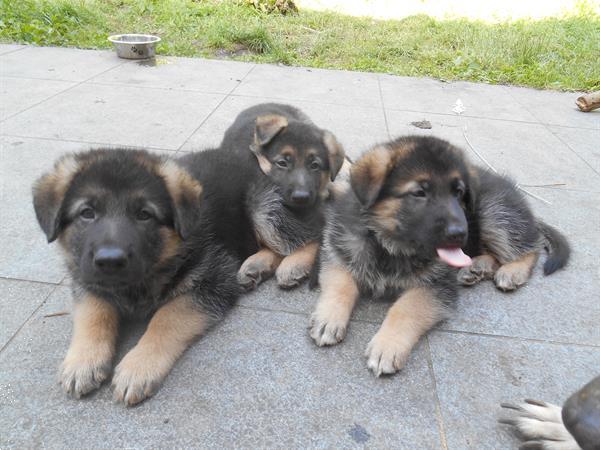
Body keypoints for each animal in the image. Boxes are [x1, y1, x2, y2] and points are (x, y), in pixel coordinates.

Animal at [32, 147, 256, 404]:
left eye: (144, 215)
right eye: (87, 213)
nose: (110, 261)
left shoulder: (216, 278)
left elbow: (168, 316)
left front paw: (138, 367)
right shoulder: (86, 279)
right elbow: (94, 312)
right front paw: (83, 360)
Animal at [312, 136, 568, 376]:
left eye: (458, 193)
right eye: (419, 193)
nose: (460, 233)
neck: (389, 245)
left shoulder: (436, 286)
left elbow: (406, 308)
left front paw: (387, 346)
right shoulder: (339, 254)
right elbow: (341, 286)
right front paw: (328, 318)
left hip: (494, 213)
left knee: (531, 246)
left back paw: (512, 271)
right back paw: (477, 267)